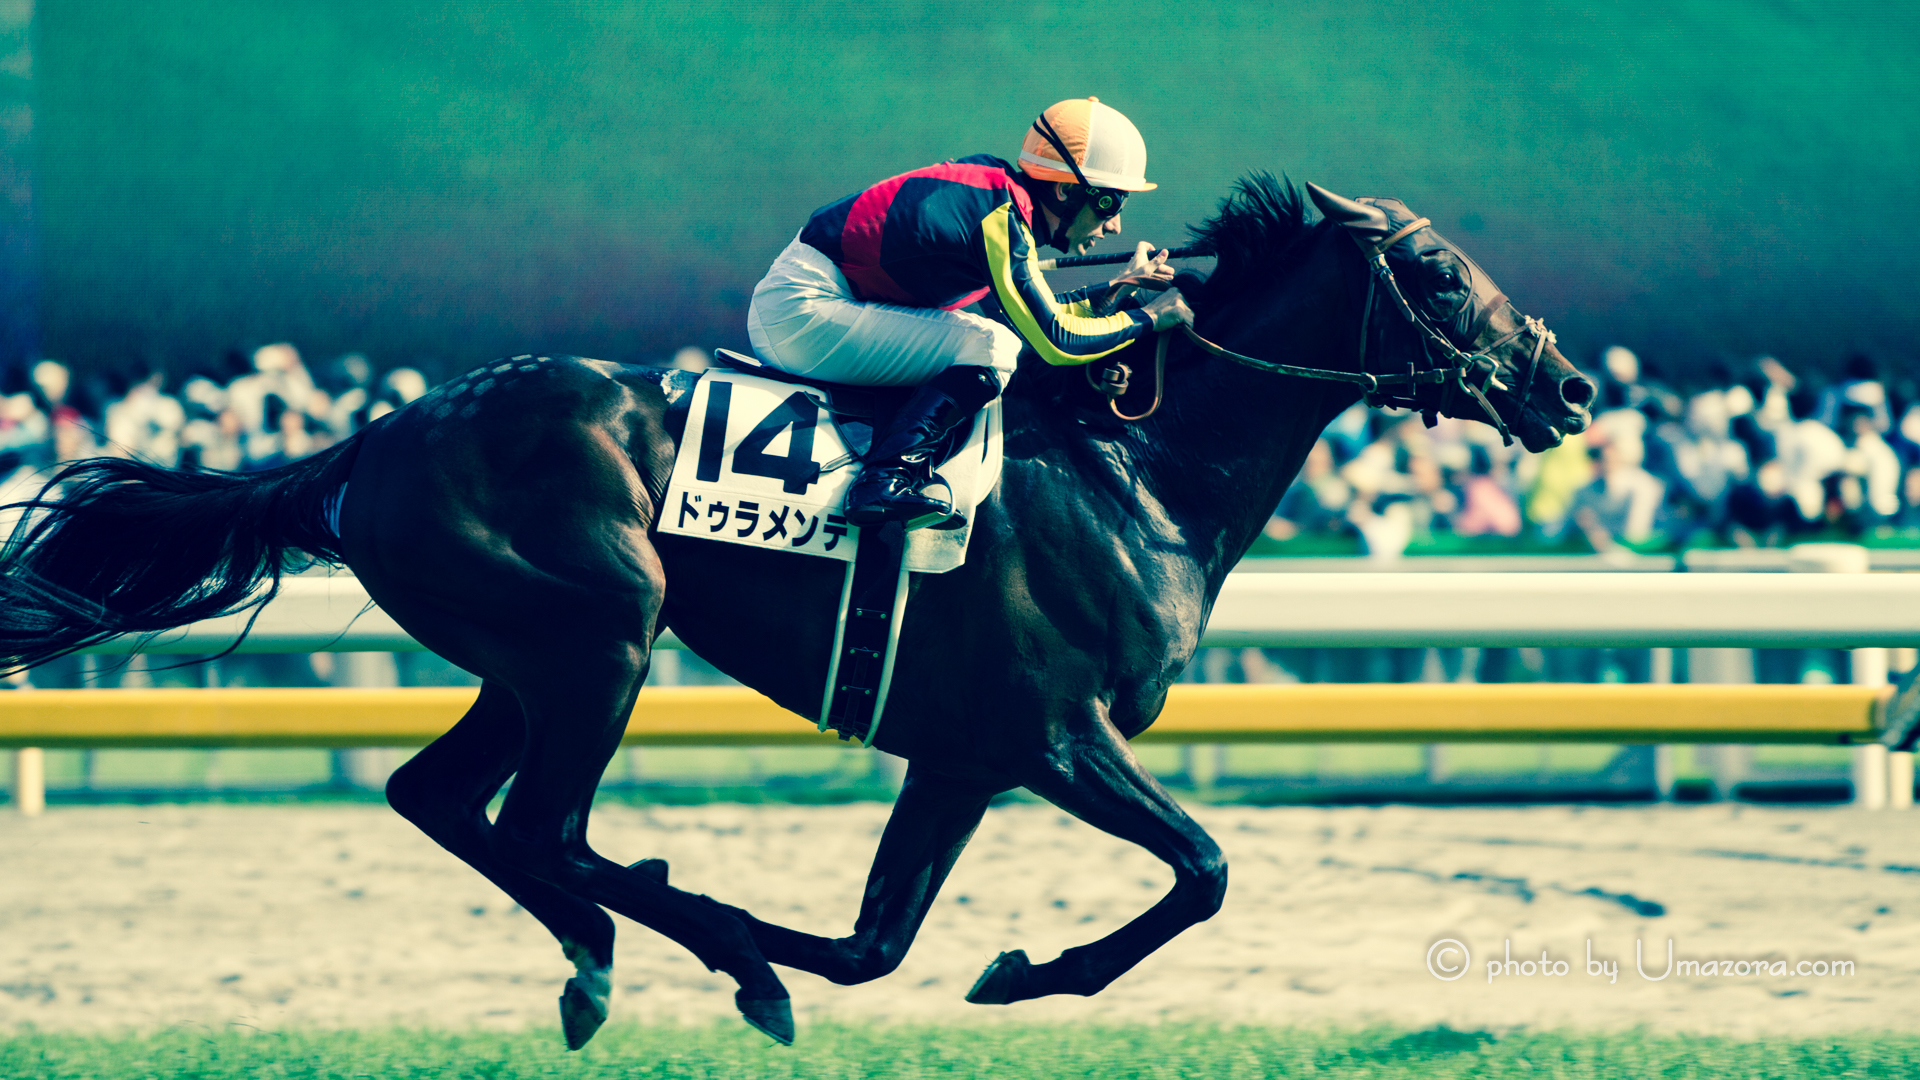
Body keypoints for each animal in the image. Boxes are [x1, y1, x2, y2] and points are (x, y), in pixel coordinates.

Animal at [0, 177, 1593, 1047]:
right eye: (1438, 273)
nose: (1568, 385)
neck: (1133, 467)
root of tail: (376, 434)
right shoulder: (1053, 734)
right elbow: (1200, 870)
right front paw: (1009, 968)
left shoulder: (963, 754)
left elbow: (880, 941)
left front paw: (978, 968)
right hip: (605, 634)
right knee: (541, 827)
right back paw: (657, 946)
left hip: (528, 657)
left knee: (443, 800)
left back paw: (611, 961)